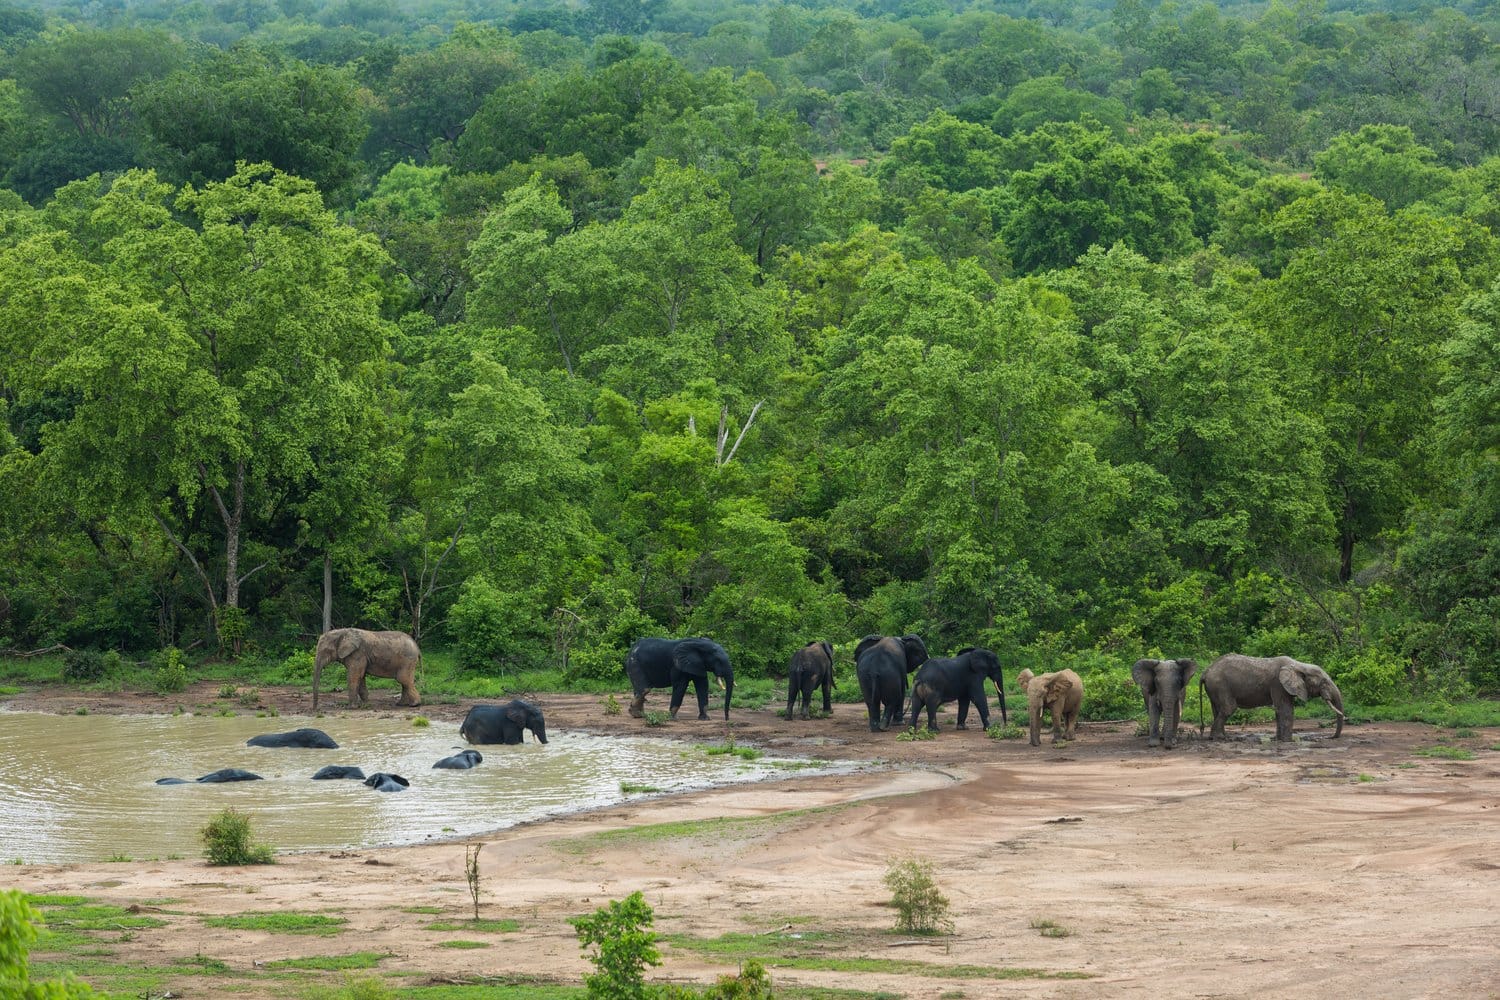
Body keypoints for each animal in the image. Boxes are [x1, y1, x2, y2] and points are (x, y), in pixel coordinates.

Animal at [1200, 654, 1345, 741]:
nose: (1330, 737)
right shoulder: (1278, 684)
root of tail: (1205, 671)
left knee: (1217, 710)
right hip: (1220, 685)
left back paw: (1220, 737)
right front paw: (1288, 741)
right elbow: (1286, 710)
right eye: (1324, 682)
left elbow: (1279, 710)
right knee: (1229, 708)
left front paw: (1279, 740)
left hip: (1215, 688)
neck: (1299, 665)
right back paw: (1219, 738)